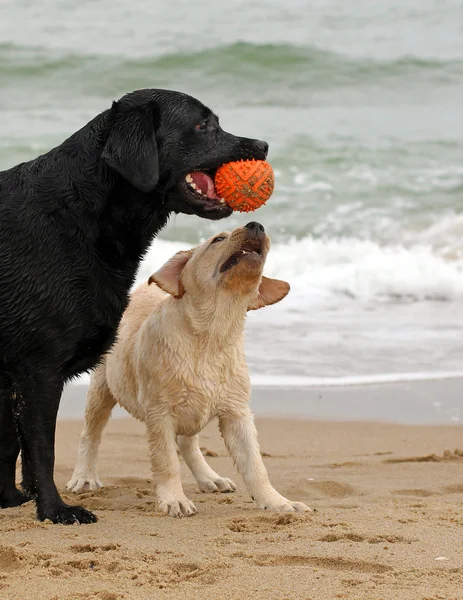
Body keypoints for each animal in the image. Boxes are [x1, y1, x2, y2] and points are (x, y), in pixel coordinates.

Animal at [0, 89, 268, 524]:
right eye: (202, 124)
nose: (263, 146)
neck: (78, 215)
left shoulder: (10, 374)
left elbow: (10, 444)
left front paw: (9, 499)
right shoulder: (37, 368)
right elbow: (41, 448)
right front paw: (56, 510)